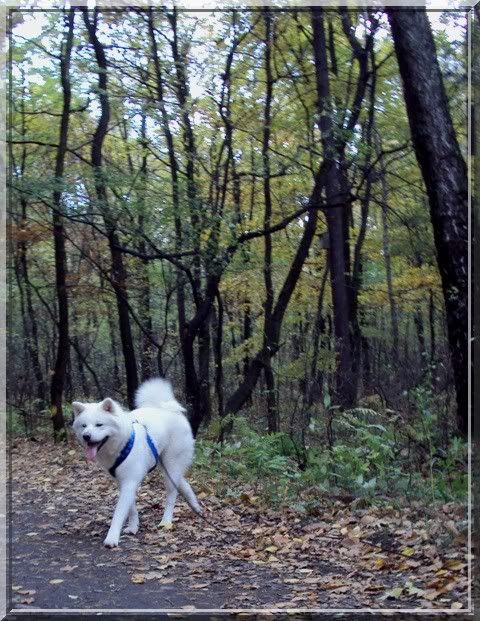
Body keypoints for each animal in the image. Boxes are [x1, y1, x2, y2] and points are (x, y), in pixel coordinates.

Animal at [72, 378, 202, 547]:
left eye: (99, 424)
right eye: (84, 426)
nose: (86, 436)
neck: (122, 443)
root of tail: (169, 409)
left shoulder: (129, 481)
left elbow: (119, 512)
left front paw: (112, 538)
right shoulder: (123, 481)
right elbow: (131, 509)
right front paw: (133, 527)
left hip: (171, 464)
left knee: (172, 495)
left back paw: (166, 521)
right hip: (166, 466)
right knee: (182, 483)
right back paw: (195, 505)